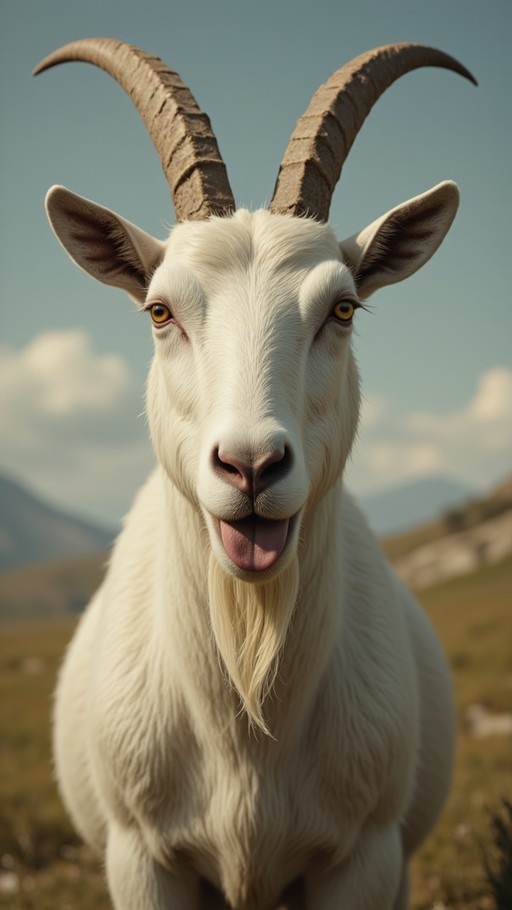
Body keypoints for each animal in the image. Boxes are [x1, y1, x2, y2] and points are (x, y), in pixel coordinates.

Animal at [35, 39, 475, 910]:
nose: (250, 466)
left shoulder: (363, 859)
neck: (247, 721)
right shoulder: (142, 860)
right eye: (160, 310)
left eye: (343, 308)